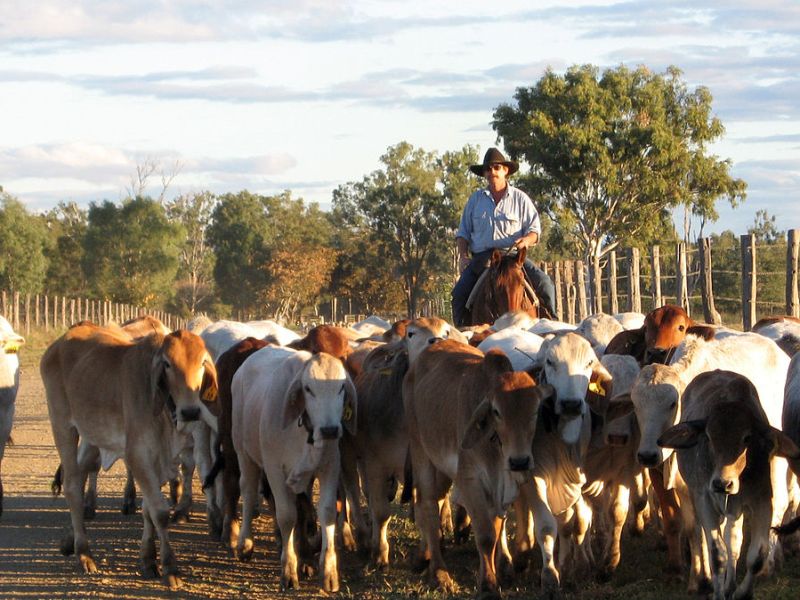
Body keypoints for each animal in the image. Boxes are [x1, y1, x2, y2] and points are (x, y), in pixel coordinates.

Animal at [39, 322, 217, 588]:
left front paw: (148, 560)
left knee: (81, 475)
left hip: (92, 436)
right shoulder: (138, 456)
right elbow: (160, 512)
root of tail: (59, 342)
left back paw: (70, 540)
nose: (191, 411)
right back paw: (84, 553)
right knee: (71, 486)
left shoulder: (158, 462)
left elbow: (148, 510)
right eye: (167, 364)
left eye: (203, 362)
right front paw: (170, 567)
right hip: (63, 426)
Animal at [406, 340, 552, 596]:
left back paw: (425, 556)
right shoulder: (470, 480)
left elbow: (496, 529)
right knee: (428, 505)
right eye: (497, 411)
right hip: (420, 450)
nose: (520, 461)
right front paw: (488, 586)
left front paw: (501, 572)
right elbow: (485, 536)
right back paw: (439, 572)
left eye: (535, 410)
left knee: (438, 500)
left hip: (442, 469)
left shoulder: (499, 488)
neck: (496, 448)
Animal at [660, 370, 796, 600]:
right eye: (708, 436)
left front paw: (743, 592)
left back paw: (731, 585)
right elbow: (717, 555)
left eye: (747, 438)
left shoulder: (762, 500)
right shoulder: (704, 500)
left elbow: (757, 555)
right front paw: (719, 593)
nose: (723, 483)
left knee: (733, 541)